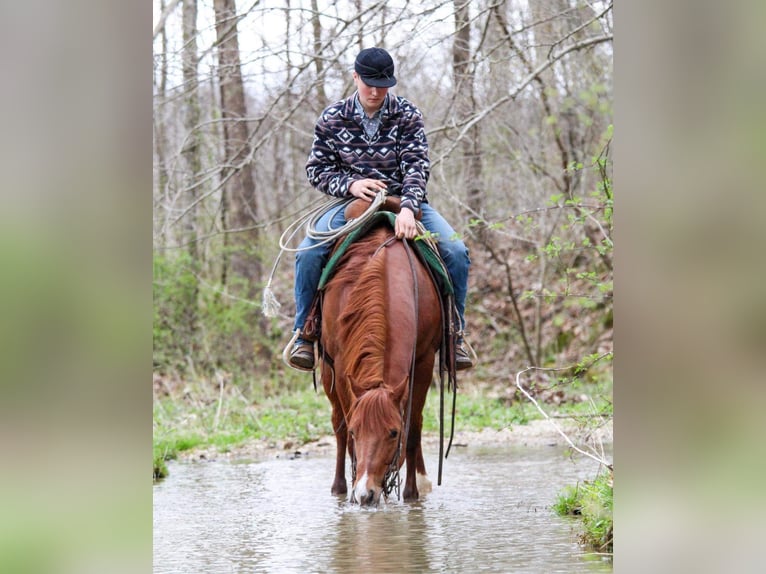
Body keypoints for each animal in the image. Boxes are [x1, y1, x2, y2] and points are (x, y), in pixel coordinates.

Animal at [320, 204, 444, 508]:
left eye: (392, 433)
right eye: (357, 431)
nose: (366, 494)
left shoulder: (423, 361)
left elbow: (413, 426)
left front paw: (411, 493)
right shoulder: (341, 364)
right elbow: (345, 428)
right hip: (327, 370)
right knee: (337, 425)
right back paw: (339, 488)